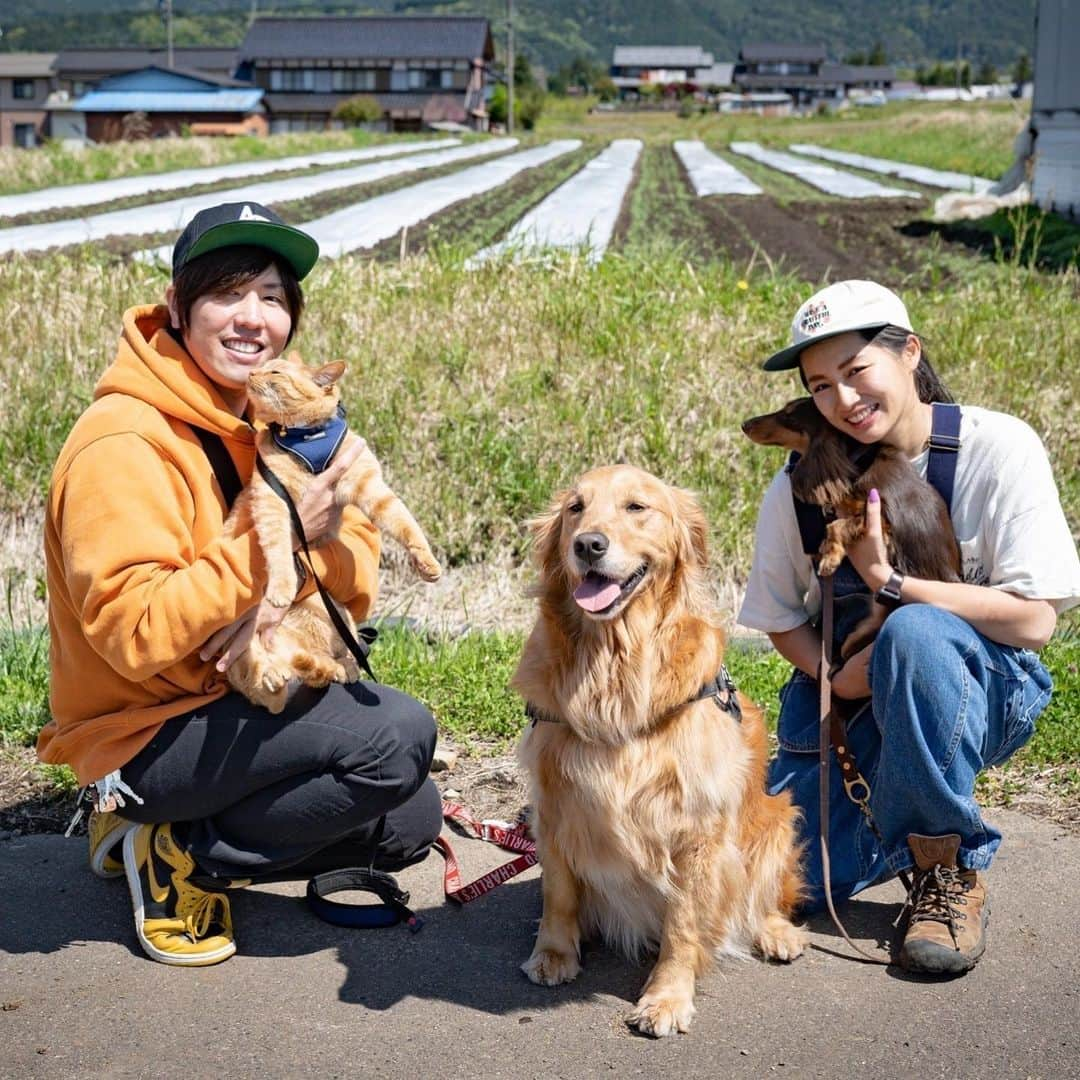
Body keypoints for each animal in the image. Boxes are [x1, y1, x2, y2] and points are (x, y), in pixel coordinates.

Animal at [221, 349, 440, 712]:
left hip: (336, 616)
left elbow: (404, 521)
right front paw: (281, 587)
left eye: (275, 371)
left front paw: (427, 562)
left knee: (334, 664)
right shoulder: (273, 502)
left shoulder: (369, 487)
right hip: (245, 641)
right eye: (263, 367)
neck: (308, 439)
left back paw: (335, 668)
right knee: (262, 669)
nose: (251, 373)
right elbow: (278, 549)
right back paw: (277, 673)